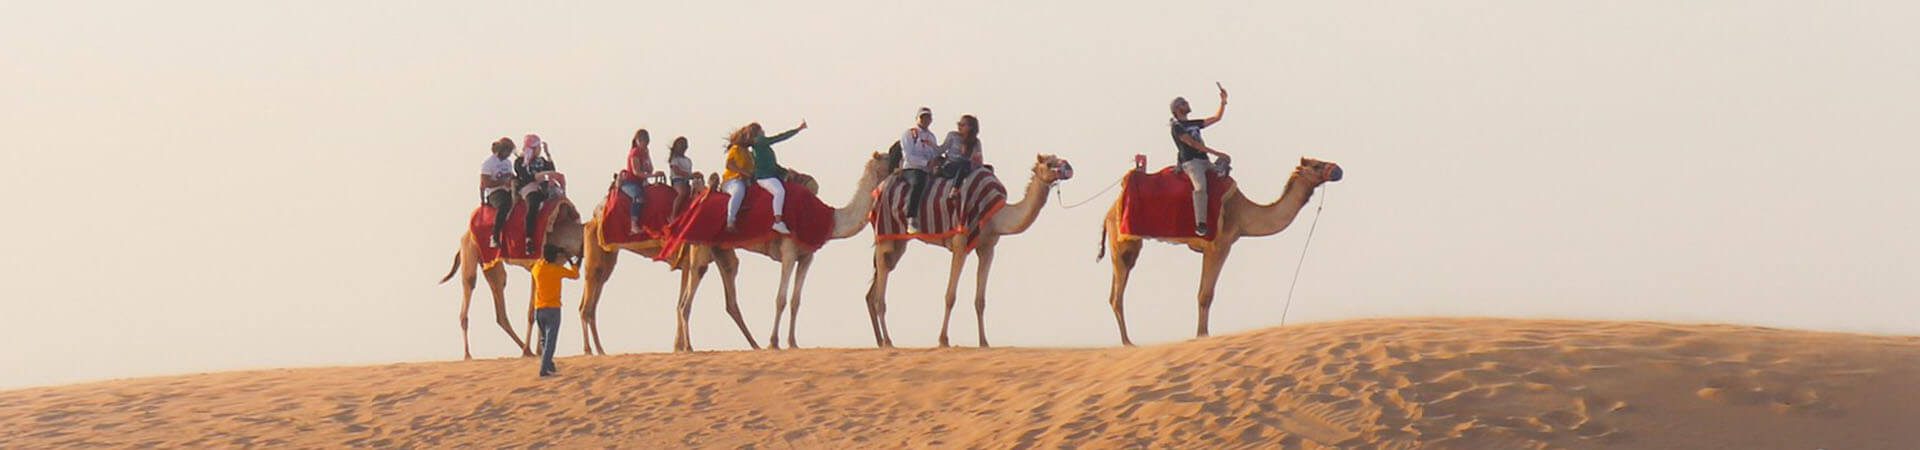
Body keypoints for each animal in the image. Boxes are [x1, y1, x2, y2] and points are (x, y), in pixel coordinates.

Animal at [437, 199, 587, 360]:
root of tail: (464, 236)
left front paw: (540, 351)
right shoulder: (537, 267)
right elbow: (531, 313)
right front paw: (537, 351)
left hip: (491, 266)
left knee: (500, 309)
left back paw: (527, 350)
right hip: (470, 253)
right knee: (468, 290)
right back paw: (469, 355)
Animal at [672, 152, 892, 351]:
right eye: (888, 157)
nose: (898, 166)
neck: (829, 218)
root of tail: (696, 203)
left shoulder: (806, 257)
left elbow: (795, 300)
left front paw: (792, 342)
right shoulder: (789, 252)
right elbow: (780, 299)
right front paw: (774, 342)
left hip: (720, 250)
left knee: (723, 293)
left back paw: (753, 345)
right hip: (701, 246)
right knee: (688, 298)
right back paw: (689, 347)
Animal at [865, 154, 1074, 348]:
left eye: (1059, 158)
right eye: (1050, 163)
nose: (1069, 167)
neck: (996, 215)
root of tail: (879, 188)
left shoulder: (988, 248)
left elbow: (980, 300)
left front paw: (984, 342)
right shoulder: (960, 242)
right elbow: (950, 296)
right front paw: (943, 340)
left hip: (898, 242)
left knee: (878, 281)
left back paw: (881, 341)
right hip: (886, 230)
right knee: (881, 282)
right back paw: (888, 341)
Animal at [1098, 157, 1343, 346]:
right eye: (1317, 165)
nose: (1338, 169)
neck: (1243, 213)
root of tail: (1109, 213)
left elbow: (1203, 293)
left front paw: (1202, 334)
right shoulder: (1219, 245)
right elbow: (1205, 294)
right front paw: (1202, 336)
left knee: (1113, 293)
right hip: (1123, 241)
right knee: (1117, 295)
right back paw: (1127, 342)